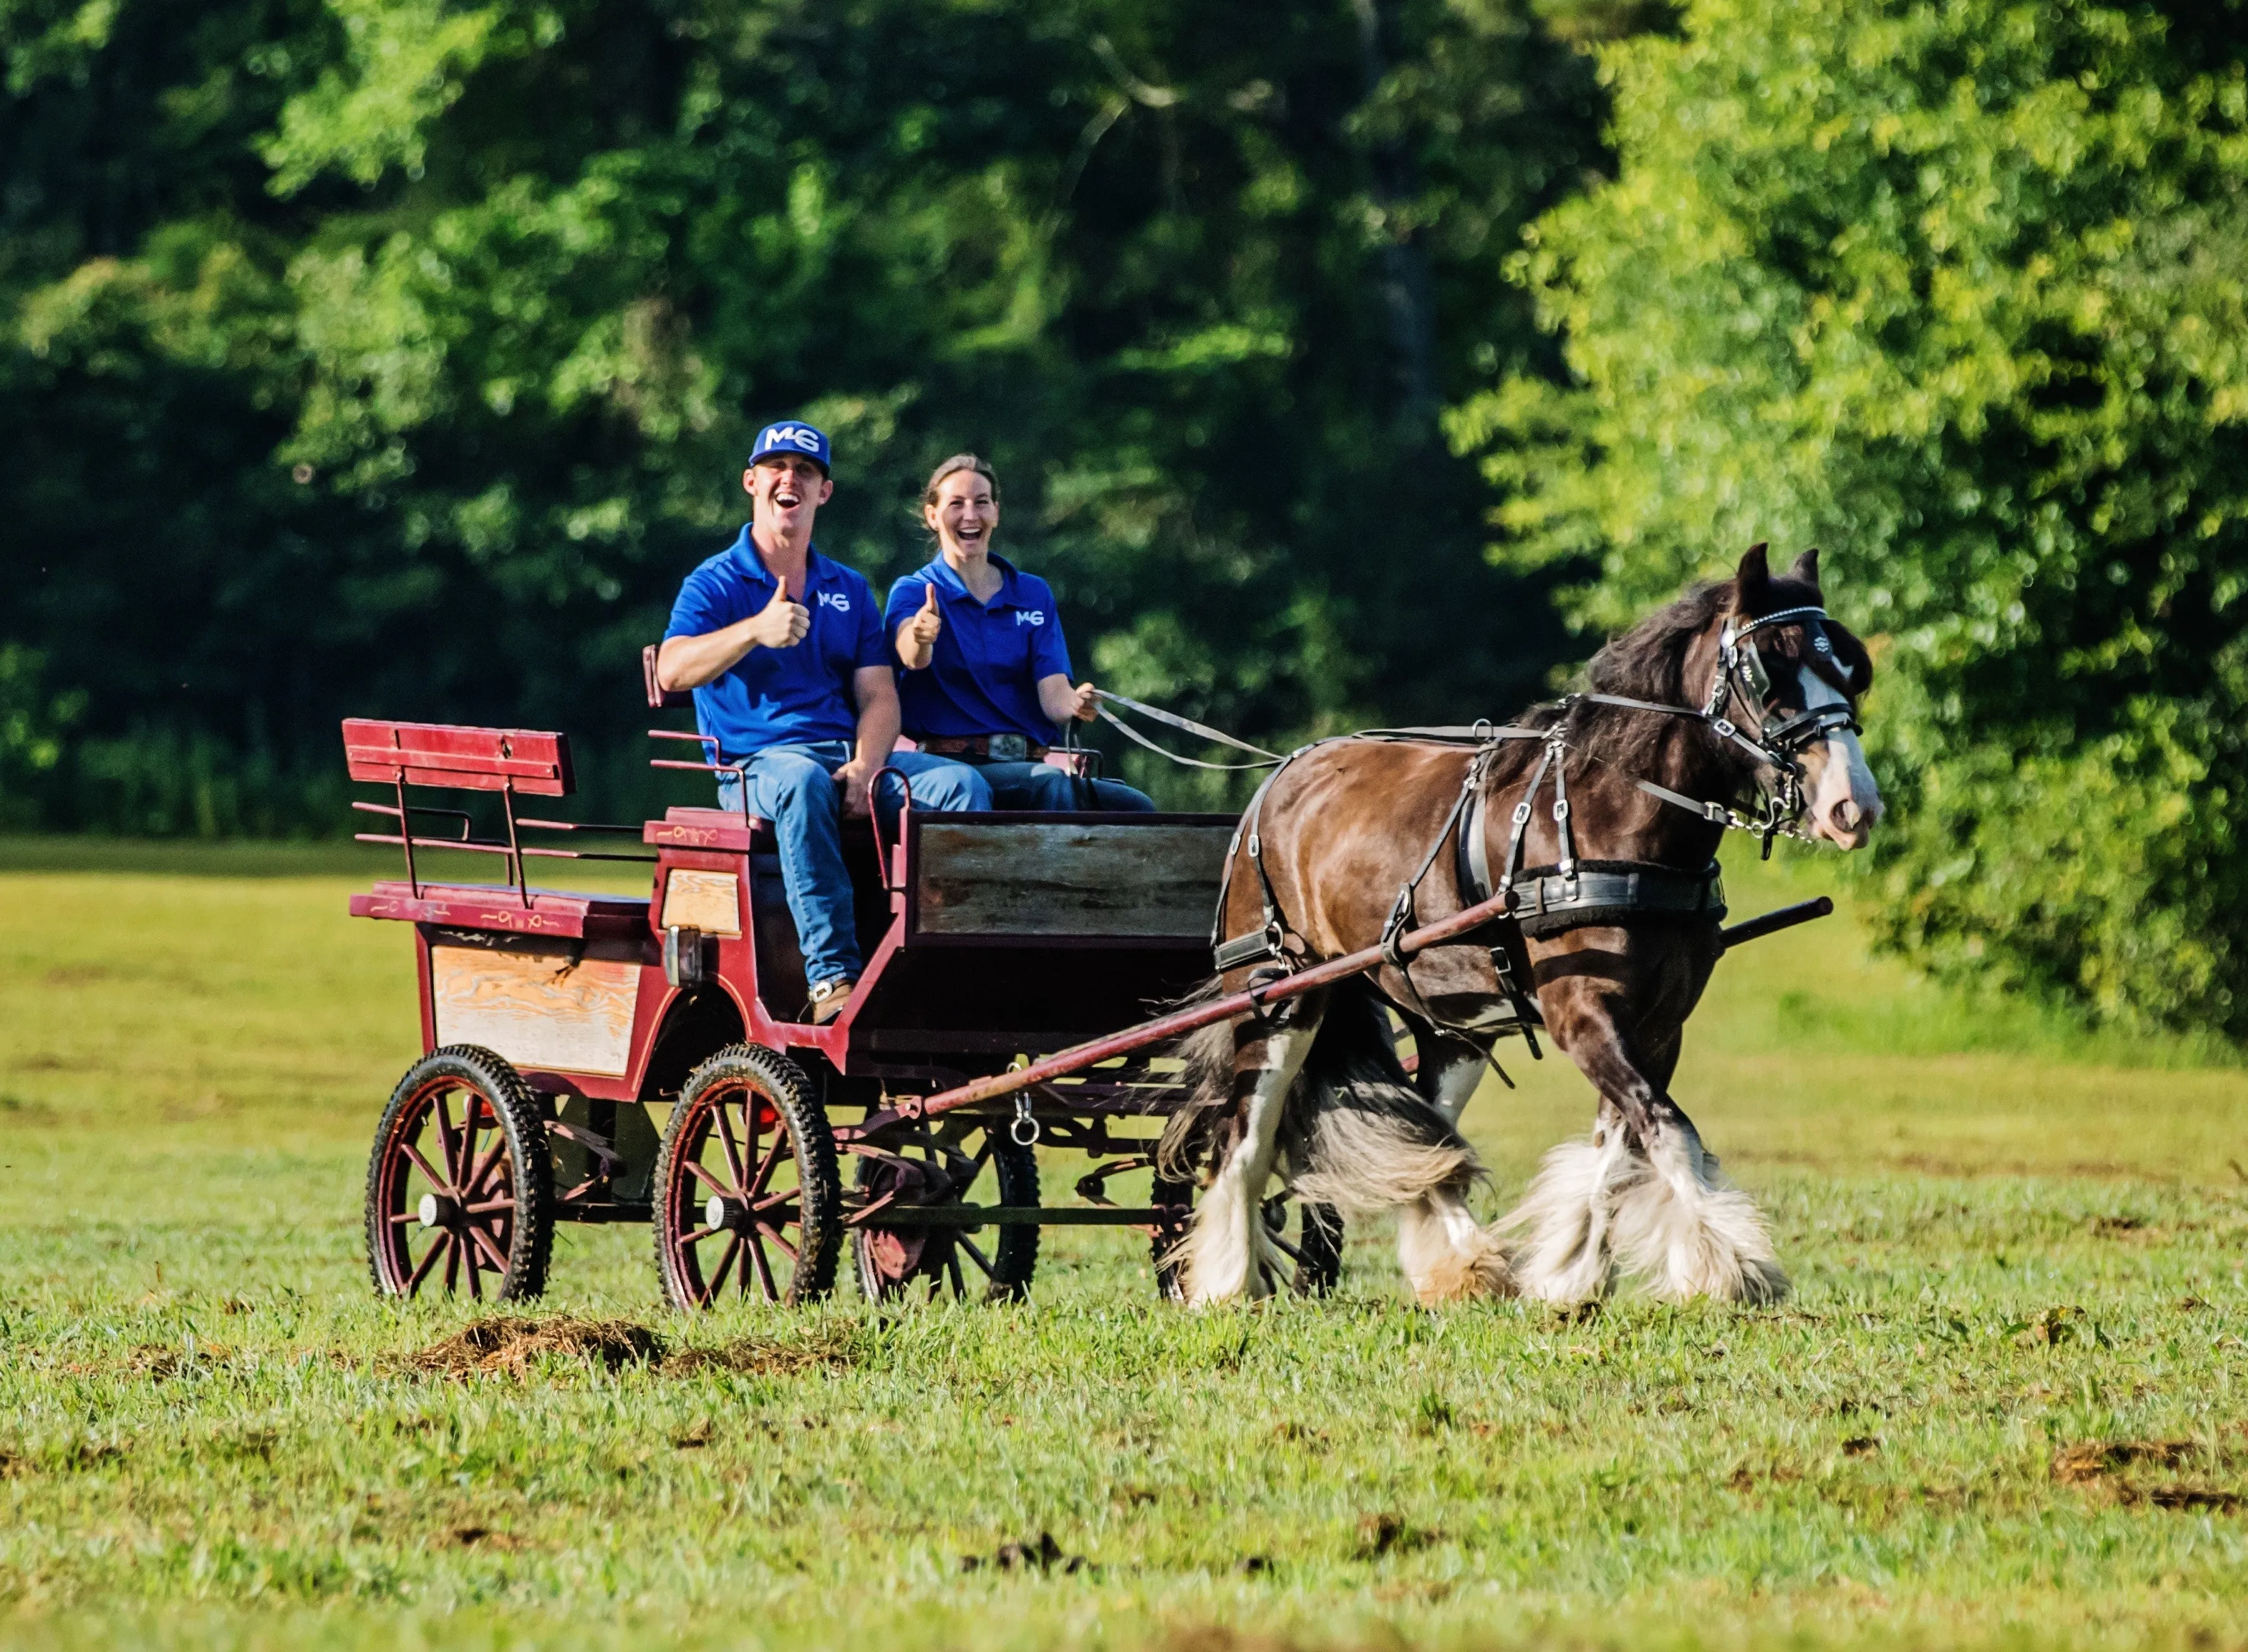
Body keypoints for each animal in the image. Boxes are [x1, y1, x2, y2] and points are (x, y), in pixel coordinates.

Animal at [1160, 548, 1879, 1312]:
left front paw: (1571, 1273)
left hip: (1451, 1022)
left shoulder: (1658, 1024)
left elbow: (1620, 1145)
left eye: (1849, 671)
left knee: (1431, 1140)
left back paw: (1464, 1265)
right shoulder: (1581, 1014)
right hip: (1279, 998)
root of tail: (1277, 781)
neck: (1611, 816)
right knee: (1246, 1139)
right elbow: (1668, 1130)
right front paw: (1732, 1264)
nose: (1853, 807)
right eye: (1767, 675)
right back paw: (1229, 1283)